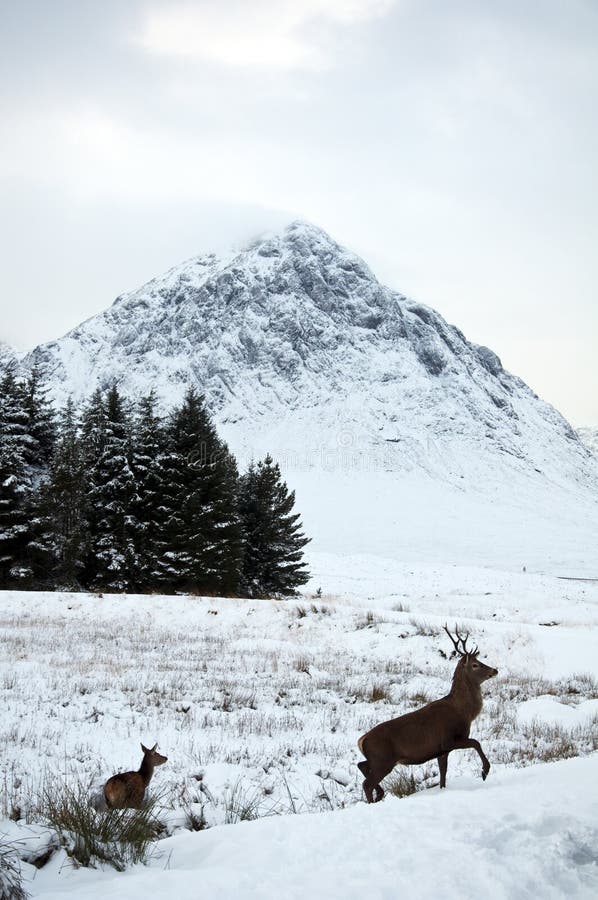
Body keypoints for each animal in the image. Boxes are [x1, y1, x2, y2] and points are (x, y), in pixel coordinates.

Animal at [358, 624, 500, 800]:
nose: (494, 670)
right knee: (366, 783)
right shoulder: (448, 740)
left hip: (377, 760)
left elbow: (443, 775)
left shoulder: (441, 750)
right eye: (475, 664)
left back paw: (380, 793)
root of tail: (361, 741)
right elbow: (476, 742)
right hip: (383, 760)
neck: (465, 713)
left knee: (361, 765)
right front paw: (485, 771)